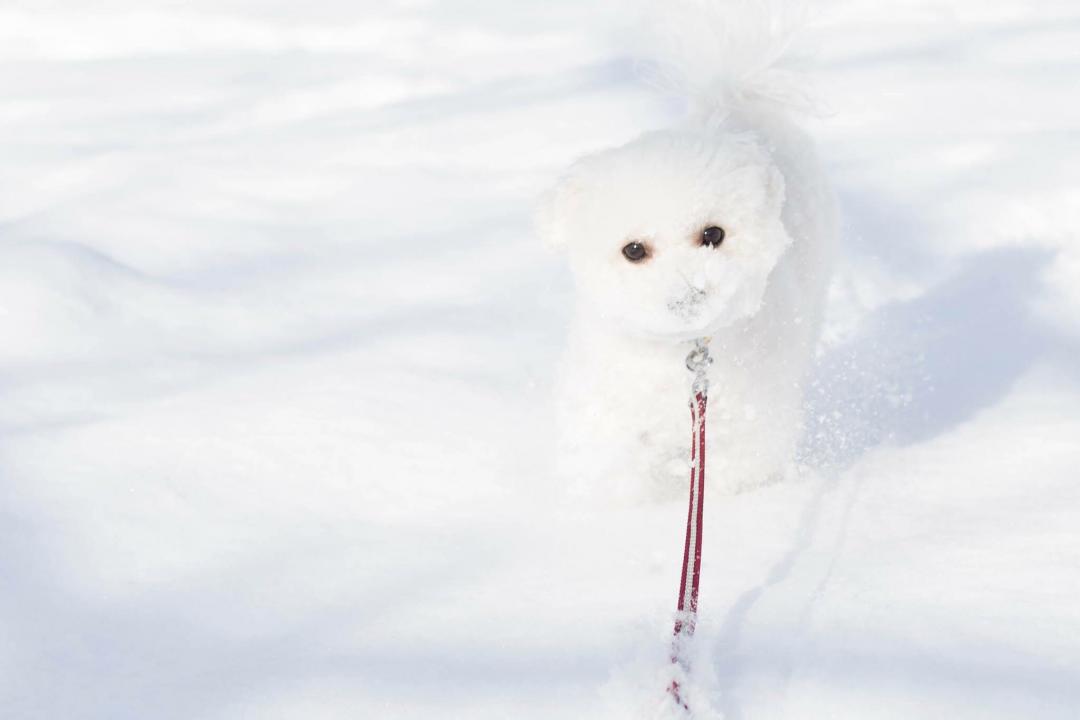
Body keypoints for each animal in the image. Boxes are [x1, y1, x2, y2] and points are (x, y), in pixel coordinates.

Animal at [540, 2, 833, 500]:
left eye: (713, 234)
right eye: (633, 249)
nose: (687, 295)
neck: (675, 356)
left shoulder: (746, 426)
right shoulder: (609, 418)